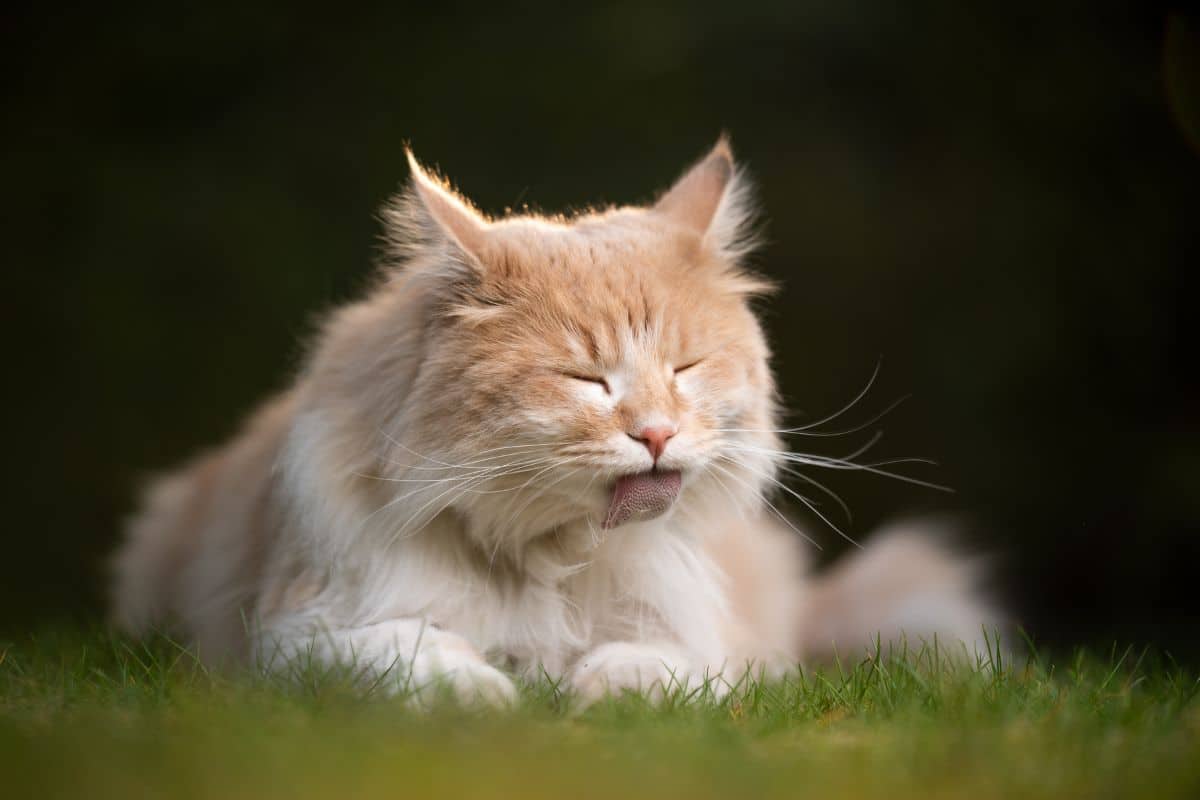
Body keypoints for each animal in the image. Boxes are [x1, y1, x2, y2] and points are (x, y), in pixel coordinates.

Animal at [112, 140, 998, 705]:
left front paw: (599, 690)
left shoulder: (722, 645)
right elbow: (412, 656)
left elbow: (665, 666)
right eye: (587, 380)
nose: (656, 434)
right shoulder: (295, 635)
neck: (551, 558)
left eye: (684, 369)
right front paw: (489, 693)